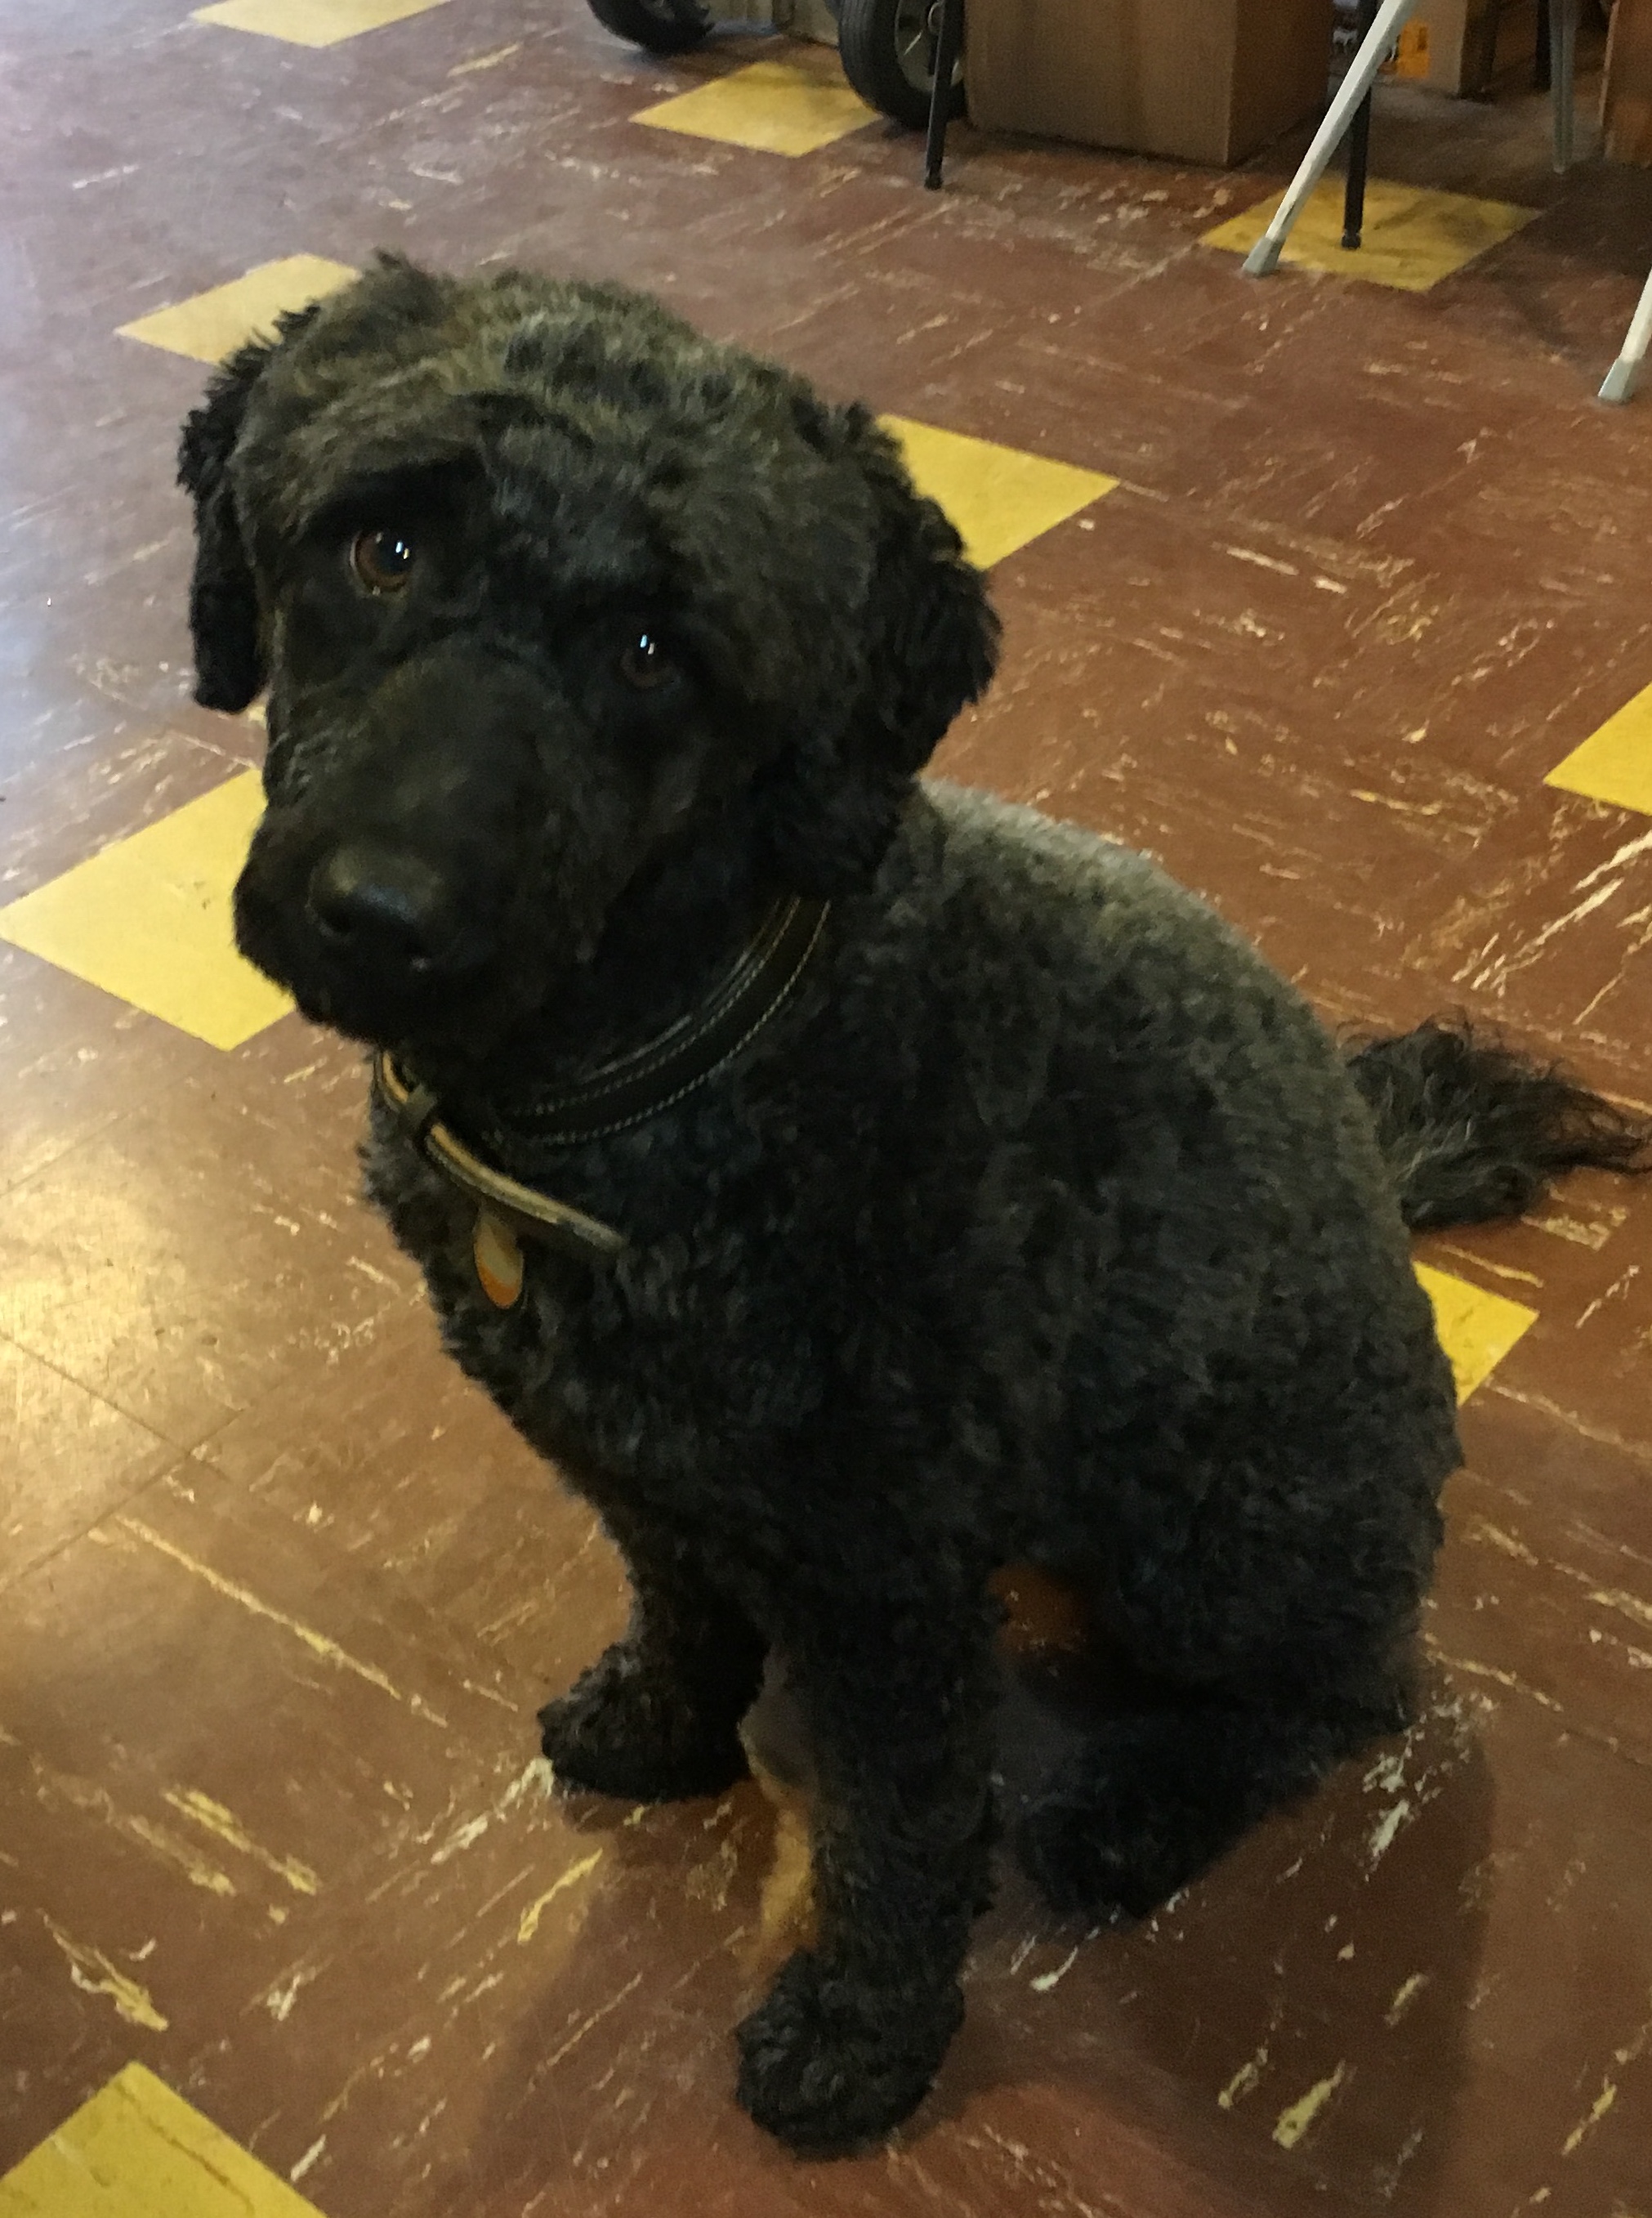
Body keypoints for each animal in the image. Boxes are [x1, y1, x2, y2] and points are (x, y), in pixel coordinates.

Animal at [174, 255, 1641, 2147]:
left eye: (655, 653)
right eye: (382, 548)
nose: (384, 912)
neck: (674, 1060)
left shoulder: (884, 1590)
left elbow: (899, 1833)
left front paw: (861, 2035)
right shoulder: (645, 1475)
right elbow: (684, 1608)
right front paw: (666, 1725)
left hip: (1227, 1535)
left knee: (1341, 1690)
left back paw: (1142, 1811)